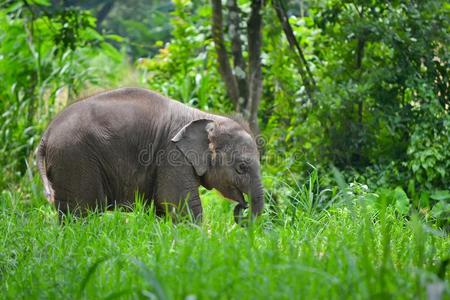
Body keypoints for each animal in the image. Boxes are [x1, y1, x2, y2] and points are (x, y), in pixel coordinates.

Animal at [37, 87, 264, 223]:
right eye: (241, 167)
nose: (242, 208)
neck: (205, 116)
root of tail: (46, 134)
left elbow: (163, 208)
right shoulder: (172, 155)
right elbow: (180, 202)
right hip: (75, 159)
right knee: (82, 210)